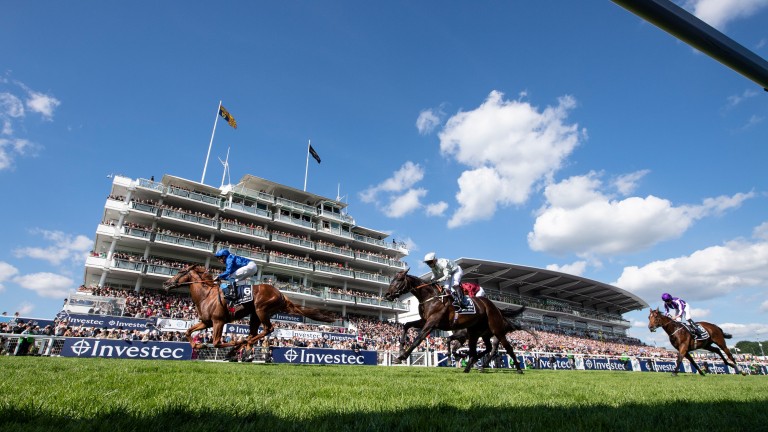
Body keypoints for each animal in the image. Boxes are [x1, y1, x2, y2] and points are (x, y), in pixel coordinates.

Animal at [164, 264, 334, 354]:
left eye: (180, 272)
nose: (166, 283)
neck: (206, 295)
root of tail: (281, 294)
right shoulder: (207, 322)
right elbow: (188, 331)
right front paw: (197, 345)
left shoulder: (218, 321)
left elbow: (217, 342)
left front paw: (233, 343)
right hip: (255, 315)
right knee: (255, 332)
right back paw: (243, 347)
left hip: (261, 309)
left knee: (268, 329)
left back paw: (243, 344)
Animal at [384, 268, 528, 372]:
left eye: (399, 279)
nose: (387, 294)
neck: (431, 297)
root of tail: (495, 307)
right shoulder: (424, 320)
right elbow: (406, 325)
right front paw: (401, 350)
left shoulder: (432, 323)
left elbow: (418, 339)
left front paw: (402, 356)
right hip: (478, 333)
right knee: (484, 349)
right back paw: (472, 365)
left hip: (495, 330)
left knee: (505, 348)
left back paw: (519, 369)